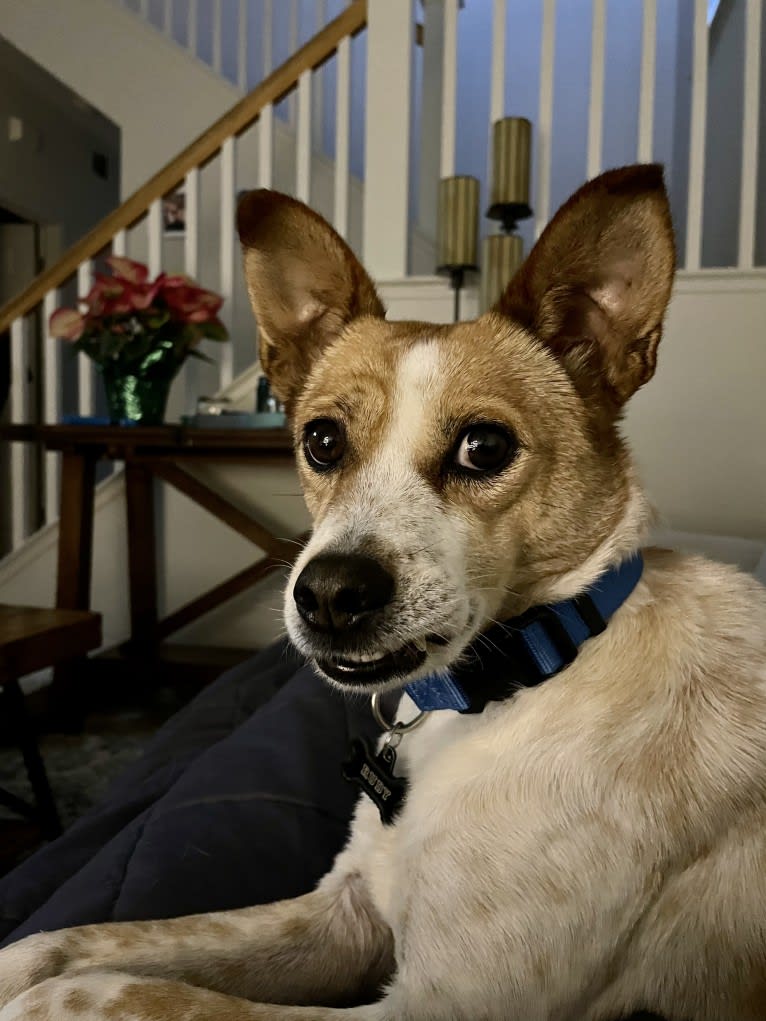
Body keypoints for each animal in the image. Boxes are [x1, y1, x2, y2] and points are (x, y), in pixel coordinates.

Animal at [1, 163, 766, 1016]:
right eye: (321, 439)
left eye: (485, 445)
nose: (330, 594)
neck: (534, 670)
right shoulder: (345, 910)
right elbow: (64, 944)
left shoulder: (448, 1002)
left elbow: (101, 988)